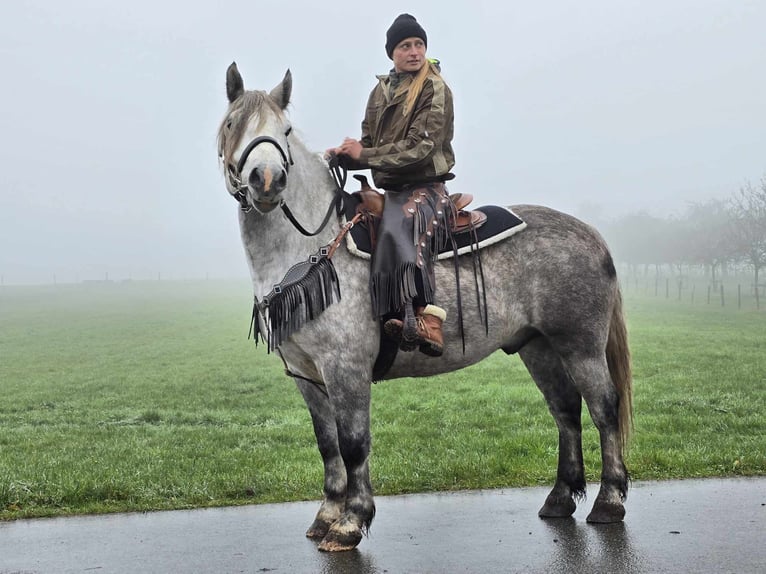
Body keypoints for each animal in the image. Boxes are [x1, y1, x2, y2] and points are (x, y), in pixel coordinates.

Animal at [218, 64, 636, 552]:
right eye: (233, 124)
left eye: (284, 130)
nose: (267, 180)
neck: (311, 247)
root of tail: (591, 233)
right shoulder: (308, 374)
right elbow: (327, 444)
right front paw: (327, 515)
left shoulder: (346, 367)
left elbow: (353, 442)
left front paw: (351, 522)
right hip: (538, 346)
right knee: (565, 409)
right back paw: (559, 499)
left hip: (580, 346)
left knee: (604, 407)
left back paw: (609, 501)